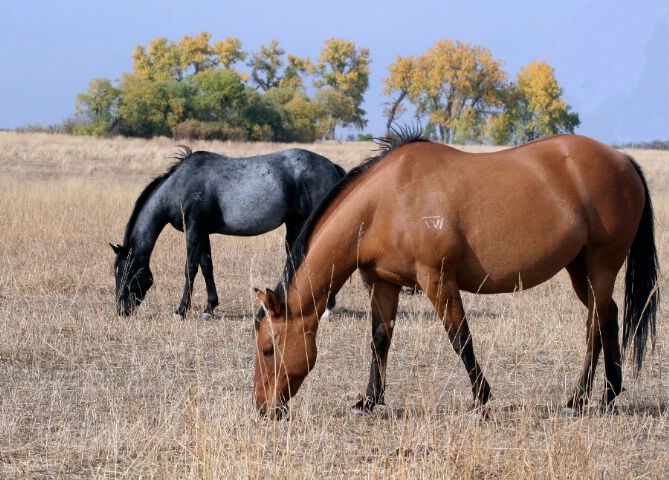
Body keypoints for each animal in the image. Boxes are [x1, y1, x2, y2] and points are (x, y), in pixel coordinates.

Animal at [110, 146, 344, 318]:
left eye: (128, 273)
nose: (121, 310)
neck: (180, 186)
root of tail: (331, 166)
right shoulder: (203, 232)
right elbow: (207, 266)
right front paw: (209, 308)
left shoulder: (194, 229)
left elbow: (190, 268)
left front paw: (181, 310)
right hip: (295, 223)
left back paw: (327, 309)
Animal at [252, 129, 656, 418]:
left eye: (269, 349)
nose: (263, 408)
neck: (386, 201)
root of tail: (623, 159)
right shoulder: (382, 282)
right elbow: (380, 339)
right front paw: (369, 401)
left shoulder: (438, 280)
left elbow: (461, 338)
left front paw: (481, 399)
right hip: (579, 265)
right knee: (608, 315)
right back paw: (609, 395)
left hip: (602, 262)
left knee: (594, 324)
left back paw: (578, 398)